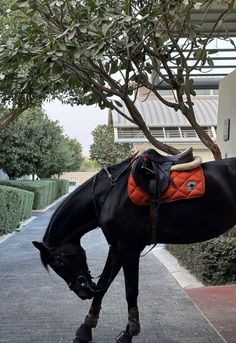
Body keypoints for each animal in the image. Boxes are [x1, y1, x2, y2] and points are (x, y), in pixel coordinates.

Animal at [32, 154, 236, 343]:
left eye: (59, 262)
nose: (83, 292)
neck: (109, 194)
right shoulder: (116, 247)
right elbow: (103, 284)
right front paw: (85, 329)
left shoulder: (129, 248)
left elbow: (131, 291)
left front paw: (129, 333)